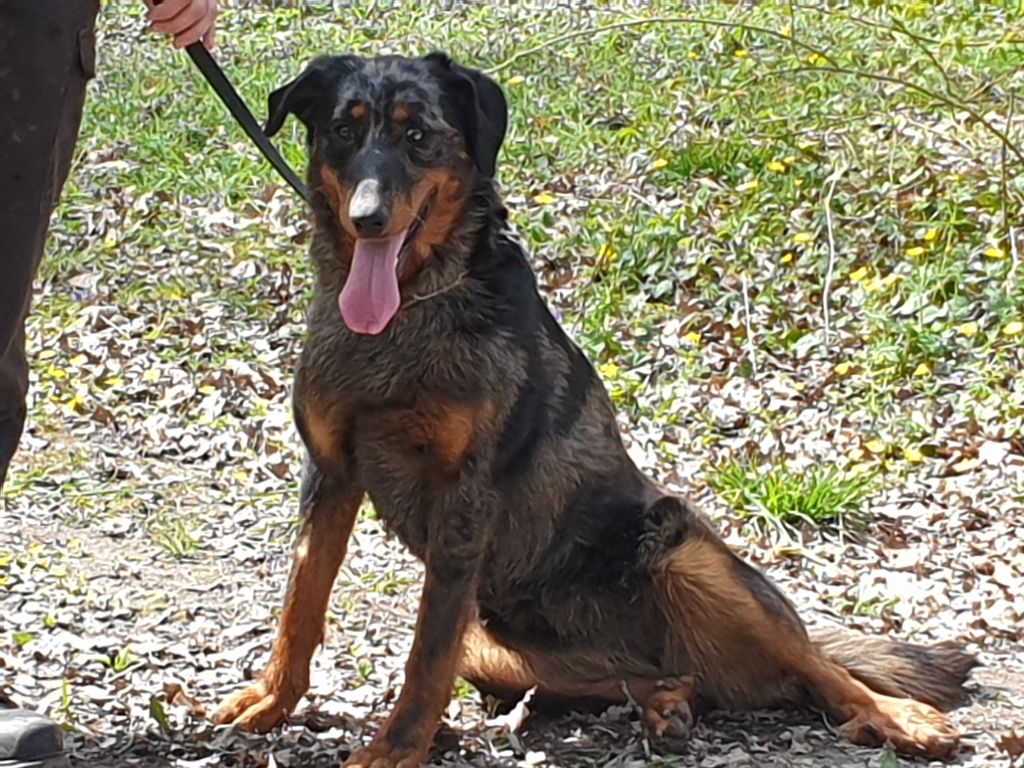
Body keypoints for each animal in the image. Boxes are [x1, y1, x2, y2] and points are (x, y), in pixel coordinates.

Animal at [212, 52, 977, 767]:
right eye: (343, 131)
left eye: (417, 135)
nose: (366, 218)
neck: (411, 312)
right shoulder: (331, 474)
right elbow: (301, 604)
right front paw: (272, 699)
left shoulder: (465, 500)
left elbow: (422, 658)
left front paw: (396, 748)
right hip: (487, 641)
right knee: (648, 675)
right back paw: (665, 701)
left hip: (687, 554)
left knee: (817, 666)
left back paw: (895, 714)